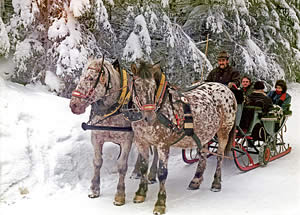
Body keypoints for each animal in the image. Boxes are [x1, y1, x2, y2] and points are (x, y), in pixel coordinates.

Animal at [68, 58, 157, 206]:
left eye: (91, 78)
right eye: (81, 76)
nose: (74, 105)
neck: (112, 110)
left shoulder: (126, 140)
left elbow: (121, 166)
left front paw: (120, 195)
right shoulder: (96, 137)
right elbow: (97, 162)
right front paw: (94, 189)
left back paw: (152, 174)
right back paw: (136, 172)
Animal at [130, 61, 238, 214]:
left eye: (153, 87)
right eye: (137, 86)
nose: (149, 117)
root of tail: (226, 88)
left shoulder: (163, 145)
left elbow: (162, 173)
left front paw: (160, 203)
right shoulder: (141, 142)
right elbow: (143, 168)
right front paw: (140, 194)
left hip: (224, 130)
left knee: (220, 156)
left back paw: (216, 183)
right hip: (205, 132)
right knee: (203, 155)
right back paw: (196, 180)